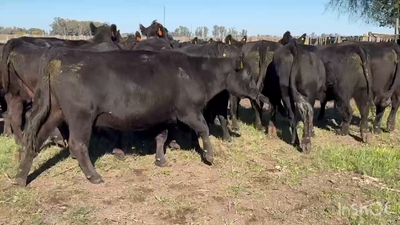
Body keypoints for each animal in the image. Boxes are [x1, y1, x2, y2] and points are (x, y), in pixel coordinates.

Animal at [15, 49, 270, 186]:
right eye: (247, 76)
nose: (262, 96)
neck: (196, 72)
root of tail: (61, 55)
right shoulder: (188, 110)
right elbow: (204, 129)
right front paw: (209, 155)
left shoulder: (163, 116)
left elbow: (161, 137)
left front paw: (160, 159)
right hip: (81, 116)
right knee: (77, 145)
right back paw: (94, 176)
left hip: (55, 112)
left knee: (35, 140)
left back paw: (20, 178)